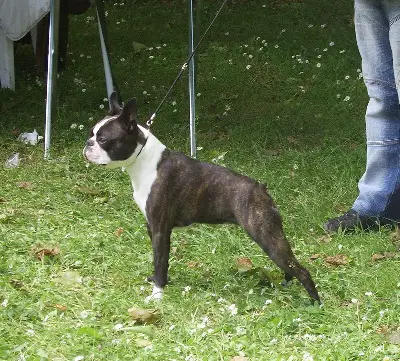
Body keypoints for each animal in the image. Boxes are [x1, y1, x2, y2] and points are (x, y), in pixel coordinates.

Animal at [83, 94, 320, 302]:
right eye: (91, 133)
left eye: (103, 139)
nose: (87, 143)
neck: (144, 161)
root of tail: (262, 189)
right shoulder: (152, 227)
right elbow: (161, 261)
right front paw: (159, 282)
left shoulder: (160, 229)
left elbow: (160, 261)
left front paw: (157, 294)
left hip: (265, 235)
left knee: (301, 270)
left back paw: (315, 303)